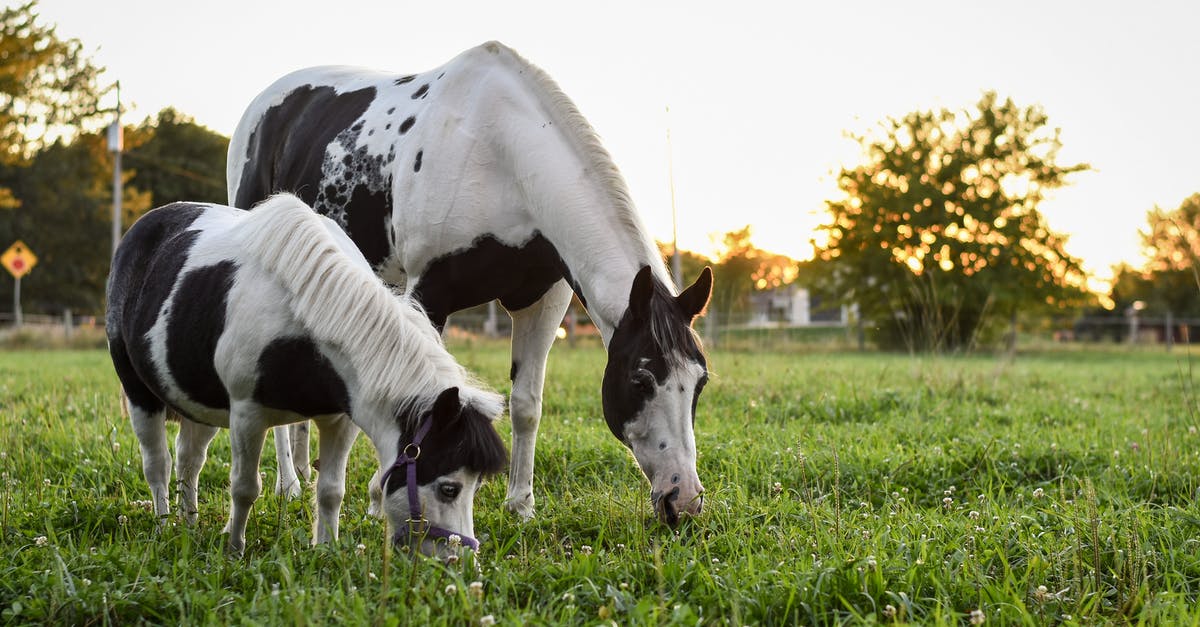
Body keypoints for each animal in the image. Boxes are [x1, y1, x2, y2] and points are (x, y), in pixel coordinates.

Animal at [105, 194, 508, 552]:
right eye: (449, 488)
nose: (457, 557)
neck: (307, 319)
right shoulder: (246, 415)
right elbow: (245, 488)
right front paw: (235, 548)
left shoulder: (340, 419)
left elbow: (331, 491)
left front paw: (326, 549)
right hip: (139, 393)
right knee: (158, 465)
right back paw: (163, 525)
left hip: (197, 402)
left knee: (189, 461)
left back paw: (189, 523)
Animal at [228, 41, 705, 523]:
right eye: (641, 381)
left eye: (699, 382)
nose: (683, 499)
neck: (500, 153)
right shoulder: (429, 296)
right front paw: (381, 501)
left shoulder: (543, 303)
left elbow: (526, 405)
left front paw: (521, 504)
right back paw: (289, 484)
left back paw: (305, 476)